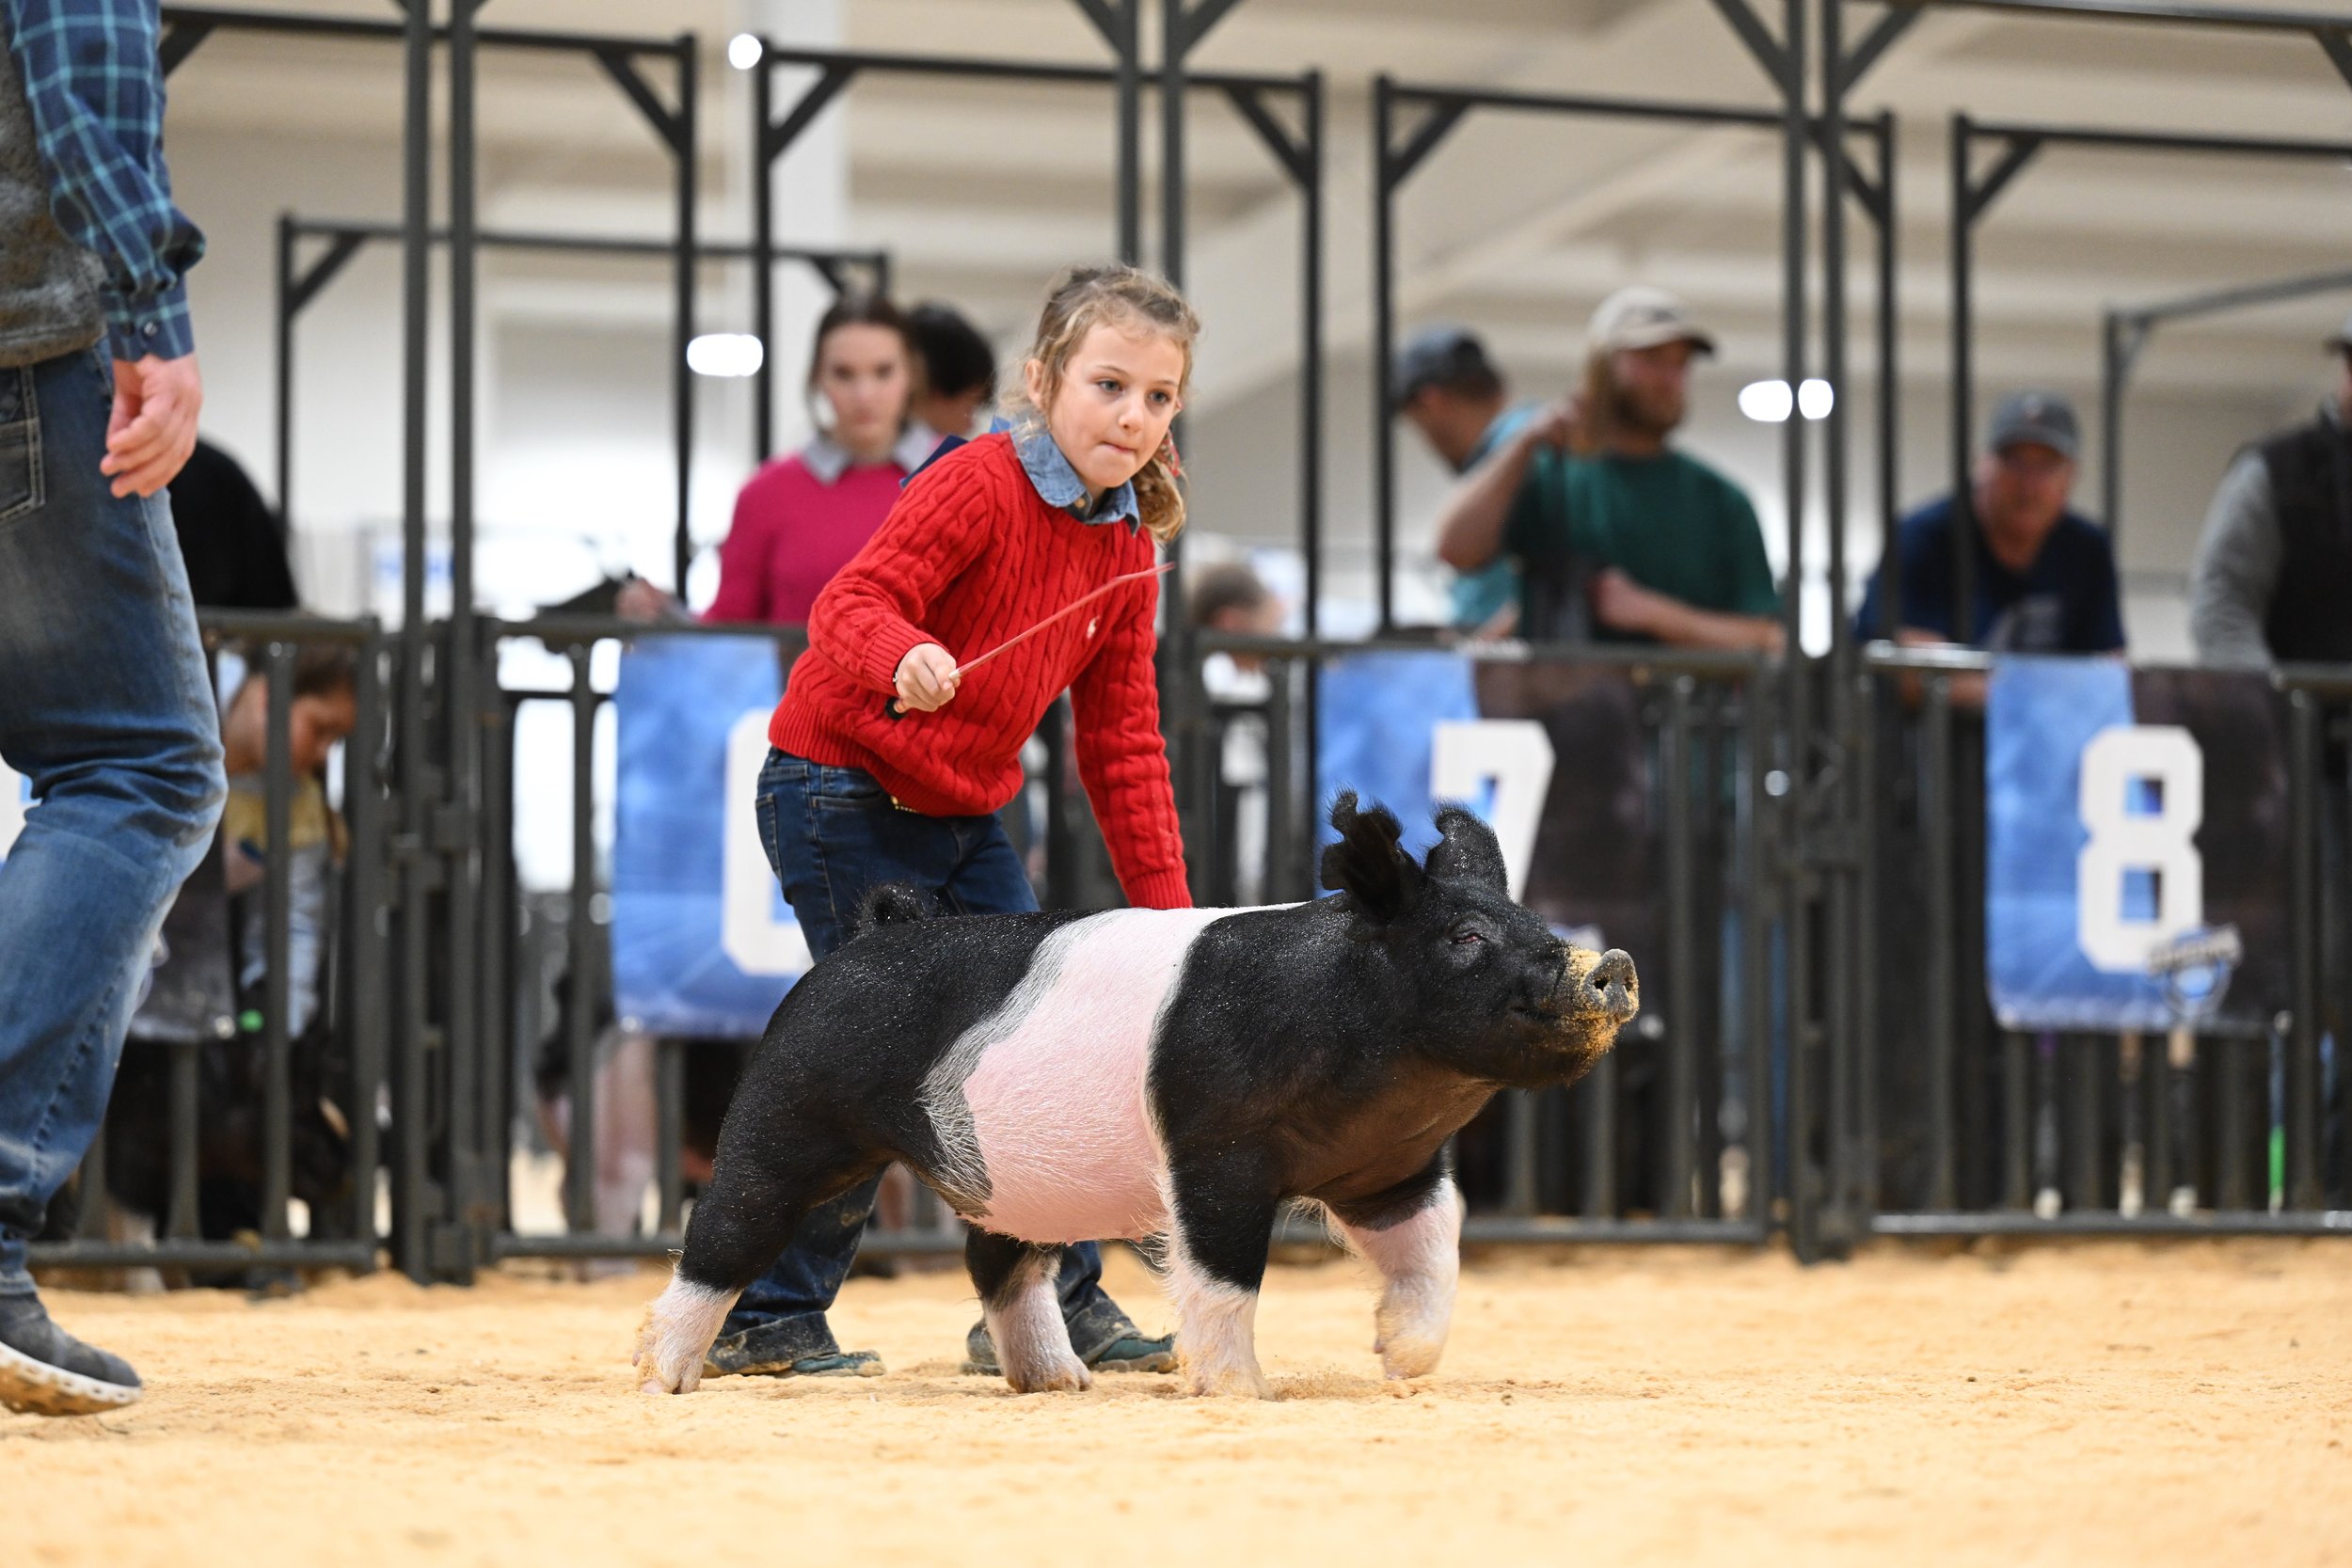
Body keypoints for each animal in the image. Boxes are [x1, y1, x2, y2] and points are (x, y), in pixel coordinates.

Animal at [634, 793, 1637, 1399]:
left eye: (1535, 924)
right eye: (1465, 937)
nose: (1613, 963)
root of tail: (866, 938)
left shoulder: (1390, 1168)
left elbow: (1438, 1248)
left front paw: (1401, 1361)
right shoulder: (1213, 1151)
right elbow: (1223, 1274)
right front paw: (1240, 1390)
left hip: (1011, 1179)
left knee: (996, 1261)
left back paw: (1061, 1383)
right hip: (788, 1113)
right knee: (723, 1232)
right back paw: (660, 1377)